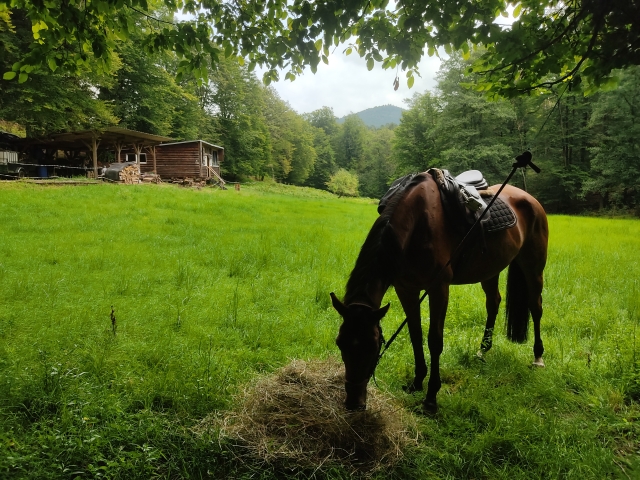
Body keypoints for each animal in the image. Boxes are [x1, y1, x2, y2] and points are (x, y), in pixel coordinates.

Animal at [331, 172, 549, 413]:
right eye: (340, 343)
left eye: (372, 345)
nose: (353, 402)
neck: (418, 222)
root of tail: (530, 198)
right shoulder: (406, 289)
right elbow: (415, 335)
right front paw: (416, 382)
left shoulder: (439, 289)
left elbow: (434, 340)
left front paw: (431, 399)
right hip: (490, 269)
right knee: (493, 302)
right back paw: (482, 351)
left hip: (533, 266)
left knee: (535, 306)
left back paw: (538, 357)